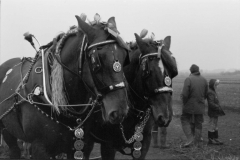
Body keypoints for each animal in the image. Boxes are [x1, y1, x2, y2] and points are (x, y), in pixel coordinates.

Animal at [0, 14, 129, 159]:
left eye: (125, 57)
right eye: (97, 62)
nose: (119, 111)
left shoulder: (82, 146)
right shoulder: (39, 147)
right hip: (6, 130)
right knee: (14, 149)